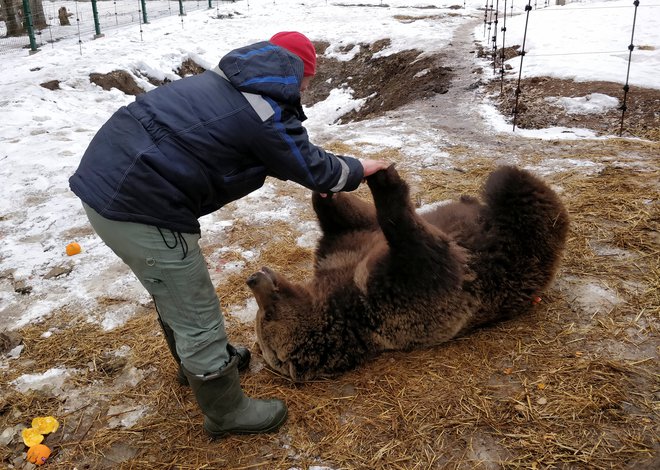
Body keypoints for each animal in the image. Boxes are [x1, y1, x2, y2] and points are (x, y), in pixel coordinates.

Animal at [248, 165, 568, 382]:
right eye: (266, 316)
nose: (253, 279)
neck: (338, 293)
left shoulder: (346, 247)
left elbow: (350, 219)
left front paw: (329, 189)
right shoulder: (402, 301)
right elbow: (425, 250)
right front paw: (386, 182)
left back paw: (470, 197)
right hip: (529, 246)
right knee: (517, 189)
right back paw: (501, 181)